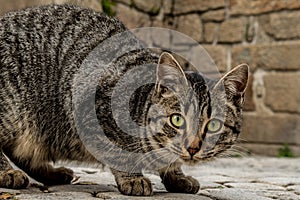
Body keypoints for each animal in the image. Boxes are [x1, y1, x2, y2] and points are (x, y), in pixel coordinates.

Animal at [0, 3, 248, 196]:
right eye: (177, 119)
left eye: (214, 125)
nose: (194, 147)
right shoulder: (89, 107)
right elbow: (118, 152)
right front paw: (133, 178)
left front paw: (177, 176)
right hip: (13, 110)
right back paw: (8, 172)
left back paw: (54, 173)